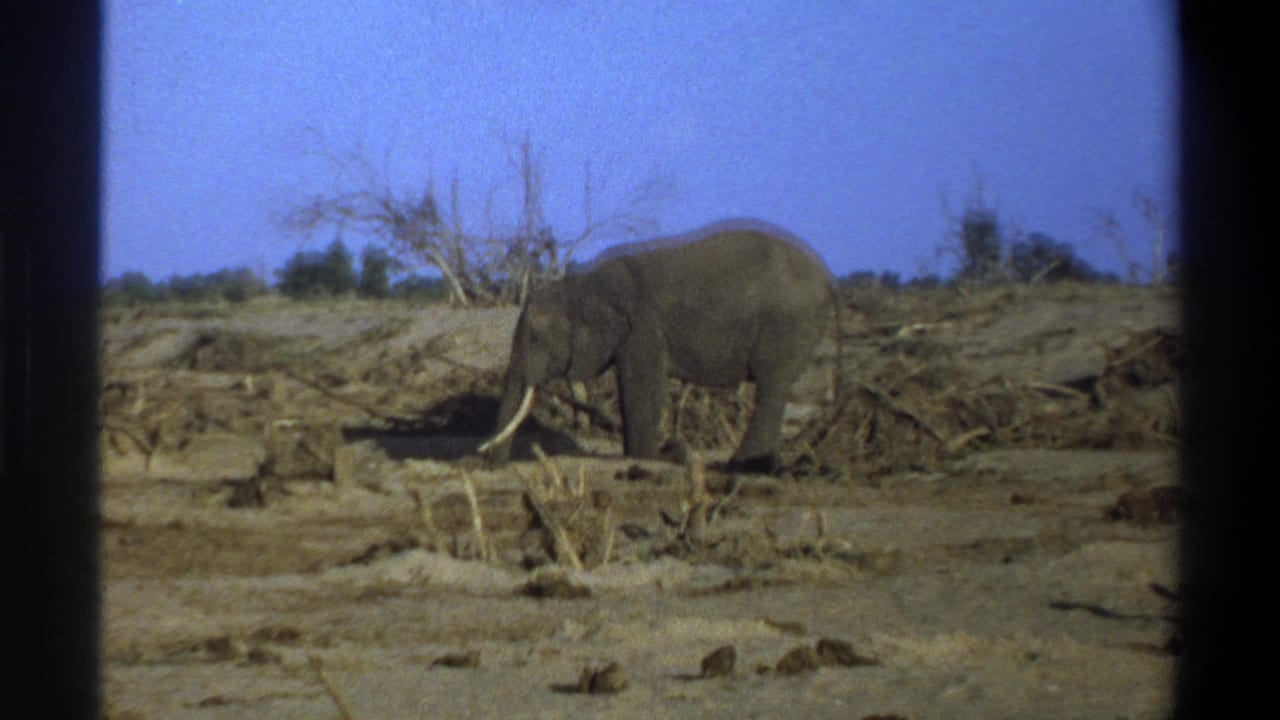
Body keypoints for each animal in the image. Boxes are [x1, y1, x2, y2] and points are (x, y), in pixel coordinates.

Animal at [479, 218, 838, 473]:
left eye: (536, 338)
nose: (492, 463)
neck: (580, 284)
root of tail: (827, 278)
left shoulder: (642, 328)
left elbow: (641, 384)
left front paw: (651, 456)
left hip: (786, 323)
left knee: (771, 385)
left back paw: (741, 465)